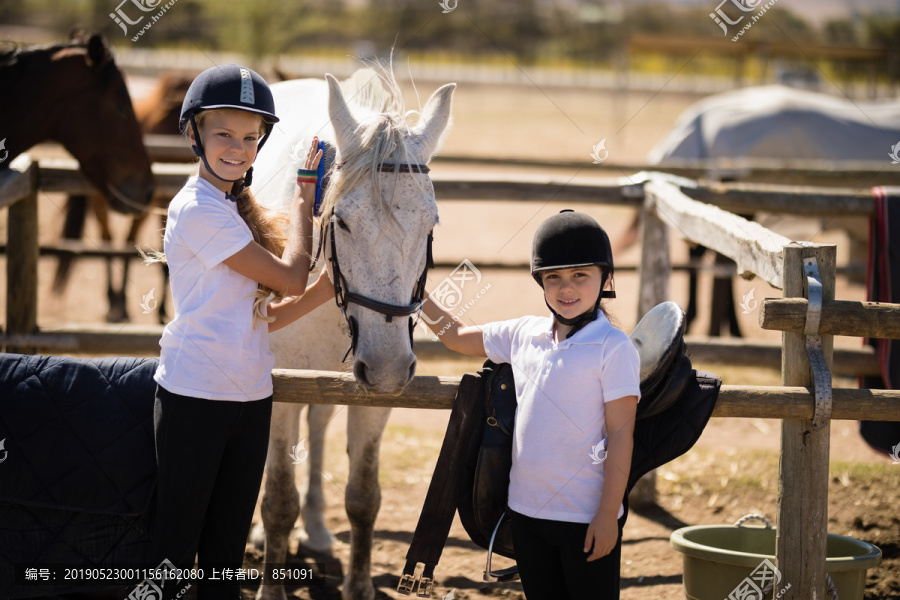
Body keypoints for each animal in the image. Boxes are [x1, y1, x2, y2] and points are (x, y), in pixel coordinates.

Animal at [250, 67, 454, 600]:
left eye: (432, 223)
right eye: (340, 221)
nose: (385, 367)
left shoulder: (379, 396)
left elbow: (364, 497)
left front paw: (359, 586)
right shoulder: (280, 388)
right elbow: (278, 498)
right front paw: (271, 584)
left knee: (319, 426)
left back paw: (318, 531)